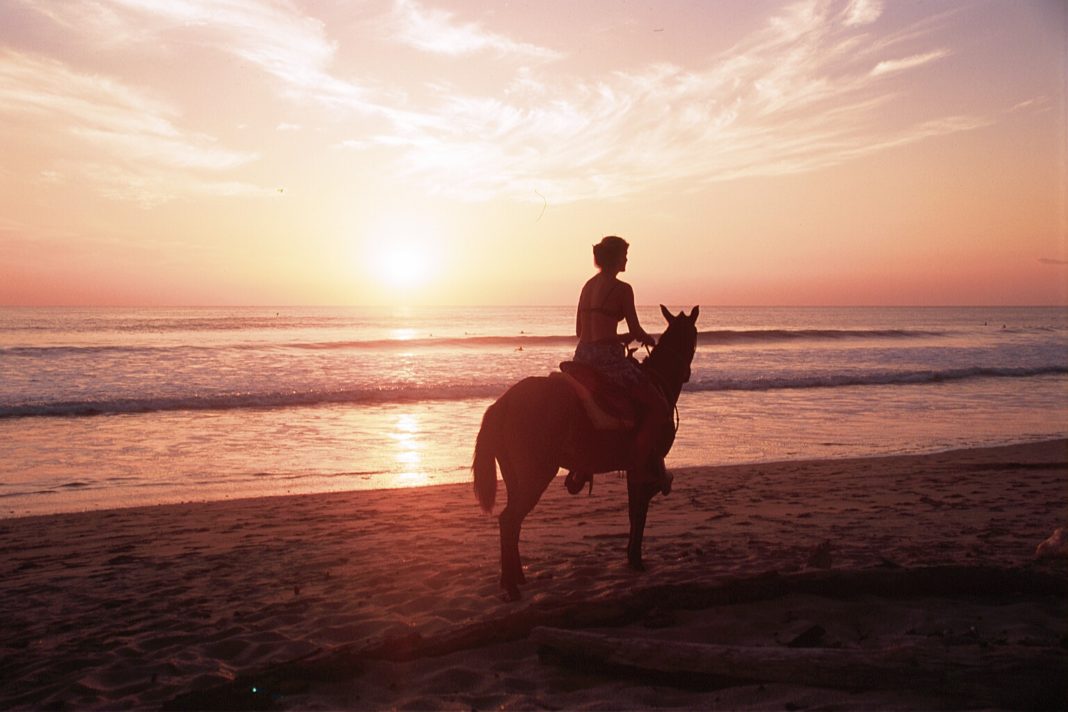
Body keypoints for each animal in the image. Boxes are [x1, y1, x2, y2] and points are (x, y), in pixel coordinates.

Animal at [472, 307, 696, 602]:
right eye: (694, 336)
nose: (688, 373)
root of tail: (503, 403)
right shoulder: (644, 467)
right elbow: (640, 511)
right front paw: (636, 559)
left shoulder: (635, 468)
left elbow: (634, 511)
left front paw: (631, 557)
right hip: (536, 474)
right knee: (509, 520)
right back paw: (511, 586)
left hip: (515, 476)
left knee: (513, 523)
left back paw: (516, 577)